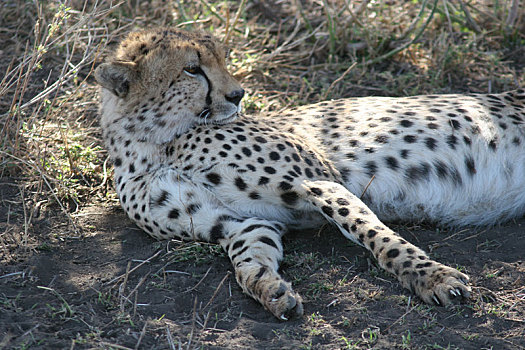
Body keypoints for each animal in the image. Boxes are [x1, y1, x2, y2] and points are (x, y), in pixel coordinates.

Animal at [95, 28, 524, 322]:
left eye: (221, 61)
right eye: (192, 69)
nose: (238, 94)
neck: (156, 143)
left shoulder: (316, 180)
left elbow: (376, 236)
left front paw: (430, 277)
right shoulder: (238, 222)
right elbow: (248, 261)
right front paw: (269, 289)